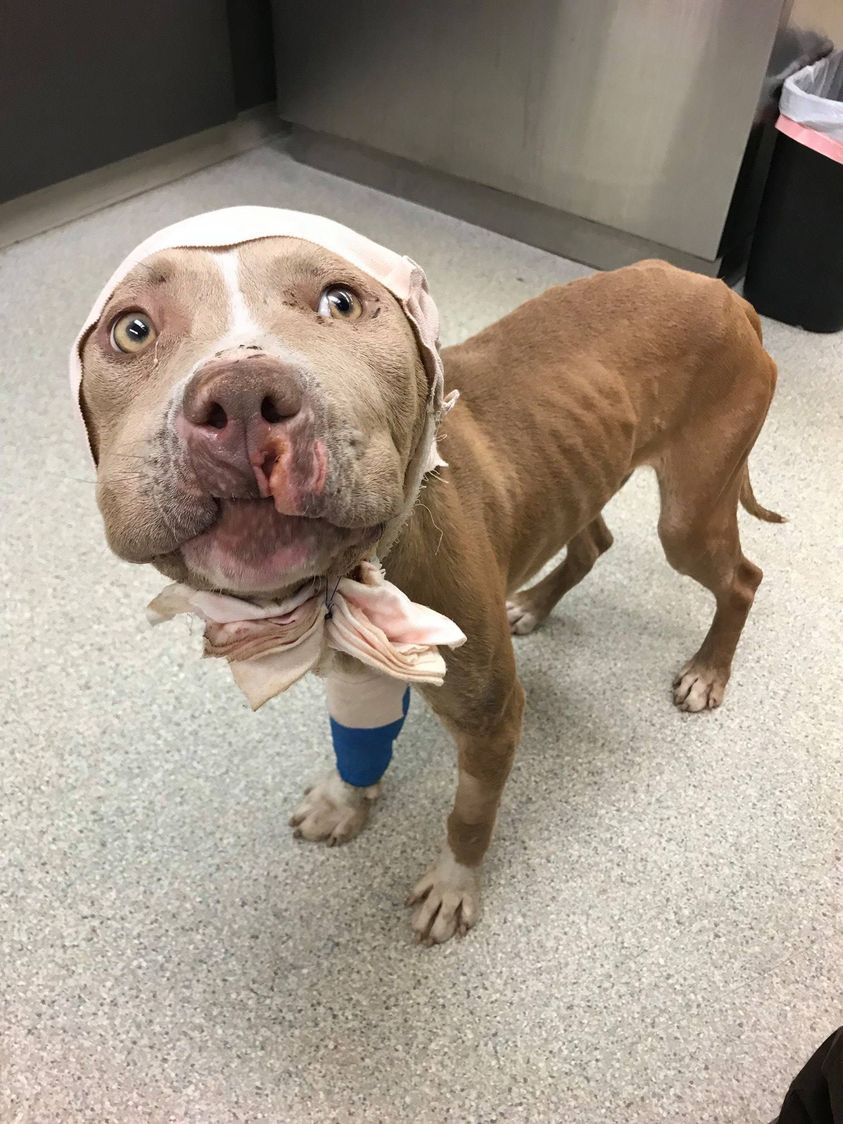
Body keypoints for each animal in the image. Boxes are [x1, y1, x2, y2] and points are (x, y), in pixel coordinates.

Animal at [72, 206, 786, 944]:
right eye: (132, 330)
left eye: (340, 301)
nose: (241, 399)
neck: (346, 583)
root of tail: (726, 296)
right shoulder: (355, 677)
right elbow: (358, 747)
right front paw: (345, 800)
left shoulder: (491, 716)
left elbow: (469, 815)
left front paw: (452, 886)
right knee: (594, 540)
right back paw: (534, 603)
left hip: (690, 514)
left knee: (742, 577)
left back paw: (707, 671)